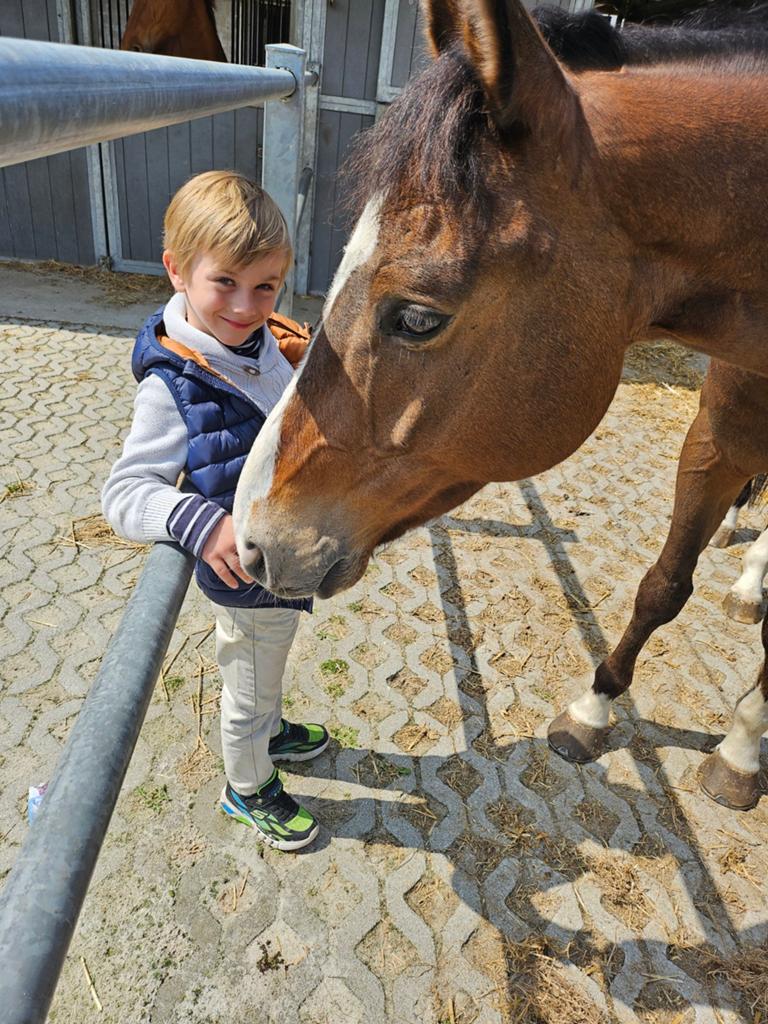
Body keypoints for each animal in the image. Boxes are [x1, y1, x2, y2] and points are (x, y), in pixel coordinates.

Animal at [232, 0, 768, 812]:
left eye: (416, 316)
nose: (253, 541)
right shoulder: (717, 436)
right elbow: (662, 587)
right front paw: (592, 710)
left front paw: (740, 751)